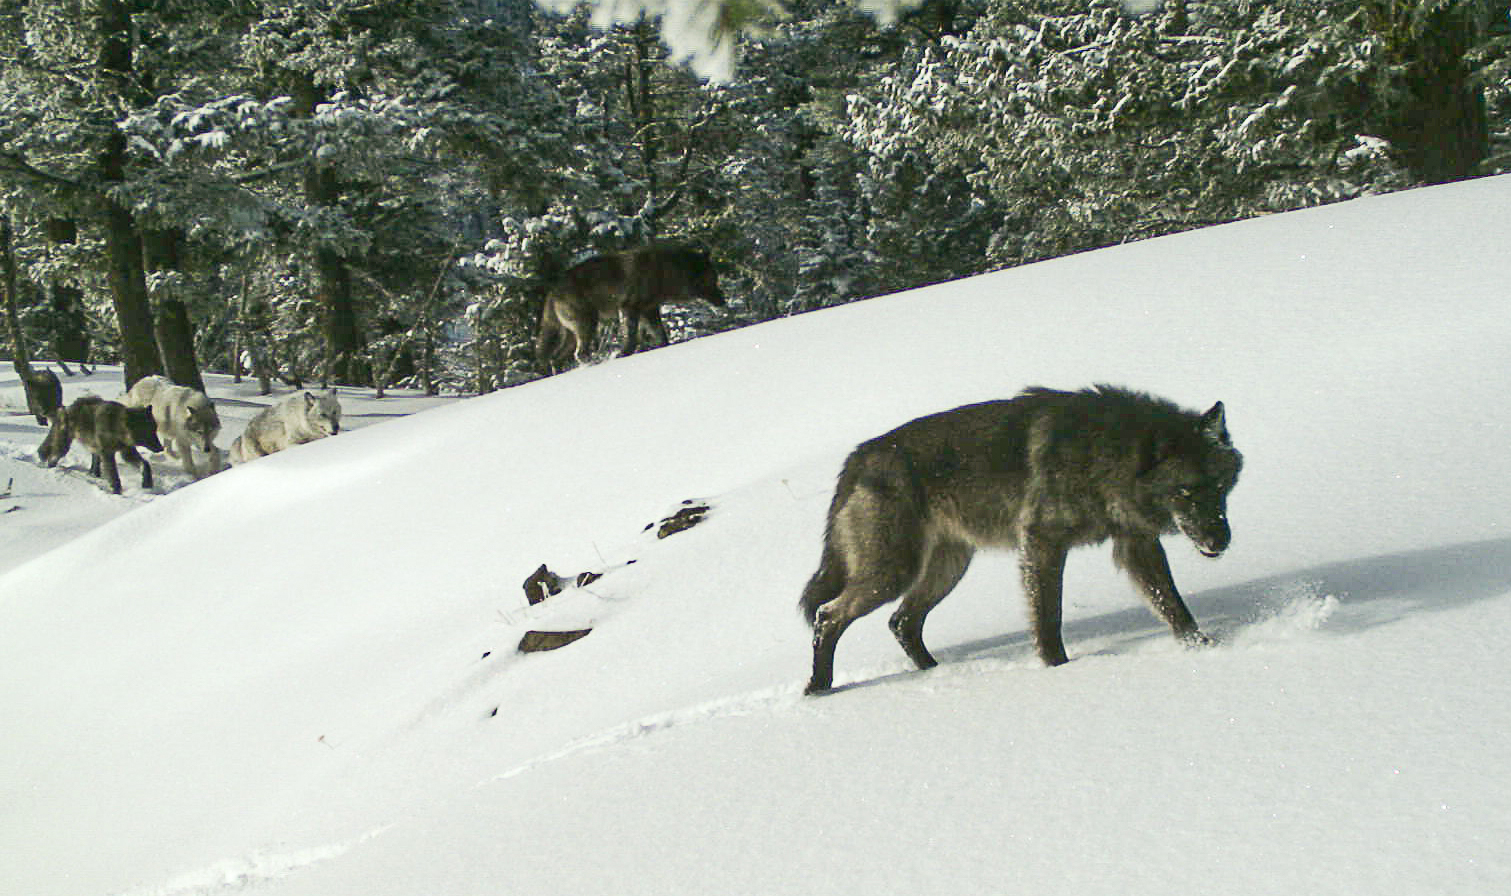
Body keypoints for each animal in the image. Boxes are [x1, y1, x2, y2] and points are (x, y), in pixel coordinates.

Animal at [536, 245, 725, 371]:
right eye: (712, 281)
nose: (723, 300)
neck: (664, 271)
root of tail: (552, 291)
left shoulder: (649, 310)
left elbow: (660, 335)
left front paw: (663, 348)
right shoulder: (629, 308)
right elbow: (632, 336)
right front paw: (624, 354)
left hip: (573, 334)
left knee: (556, 359)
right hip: (588, 326)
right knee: (579, 354)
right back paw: (595, 364)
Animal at [799, 385, 1243, 695]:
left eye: (1221, 487)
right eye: (1185, 492)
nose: (1220, 541)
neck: (1103, 454)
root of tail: (859, 456)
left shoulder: (1136, 545)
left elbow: (1174, 607)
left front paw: (1204, 648)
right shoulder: (1042, 544)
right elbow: (1048, 618)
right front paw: (1059, 670)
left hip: (947, 569)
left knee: (902, 621)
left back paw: (937, 672)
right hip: (894, 573)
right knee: (827, 616)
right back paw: (818, 689)